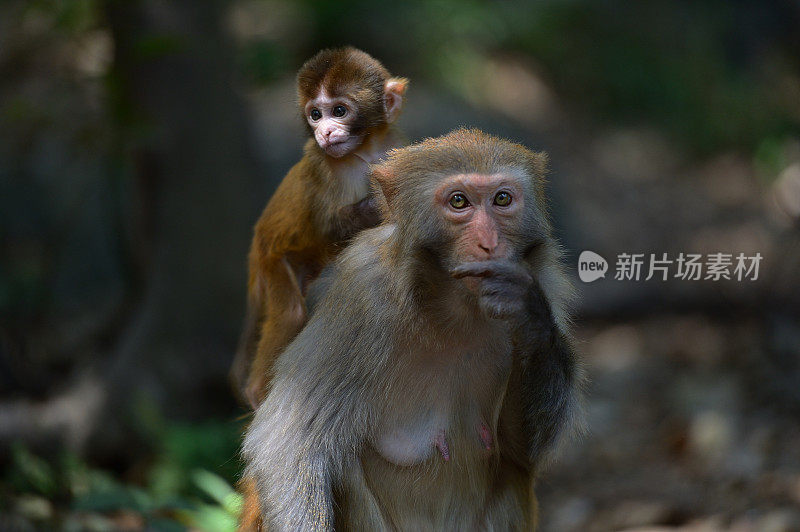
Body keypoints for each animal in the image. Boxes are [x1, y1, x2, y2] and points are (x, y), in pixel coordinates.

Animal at [230, 48, 406, 408]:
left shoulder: (391, 145)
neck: (363, 152)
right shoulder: (320, 167)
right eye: (314, 114)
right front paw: (375, 207)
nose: (324, 132)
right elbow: (327, 228)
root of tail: (255, 249)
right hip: (271, 262)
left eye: (338, 111)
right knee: (291, 310)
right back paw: (256, 393)